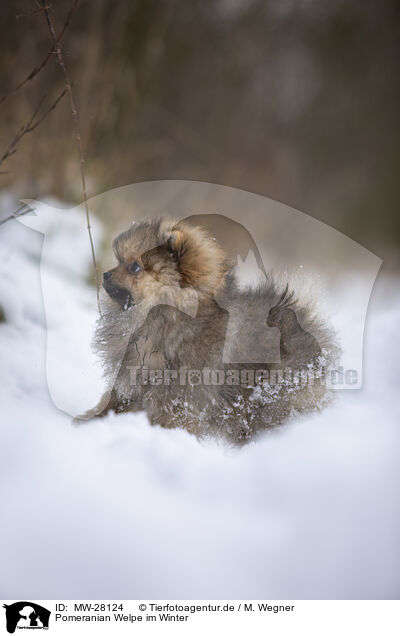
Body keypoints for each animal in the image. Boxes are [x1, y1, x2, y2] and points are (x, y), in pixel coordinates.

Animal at [76, 219, 338, 442]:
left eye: (134, 267)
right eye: (119, 261)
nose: (105, 274)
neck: (169, 316)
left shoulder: (178, 397)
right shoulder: (134, 380)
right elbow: (112, 401)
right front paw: (89, 420)